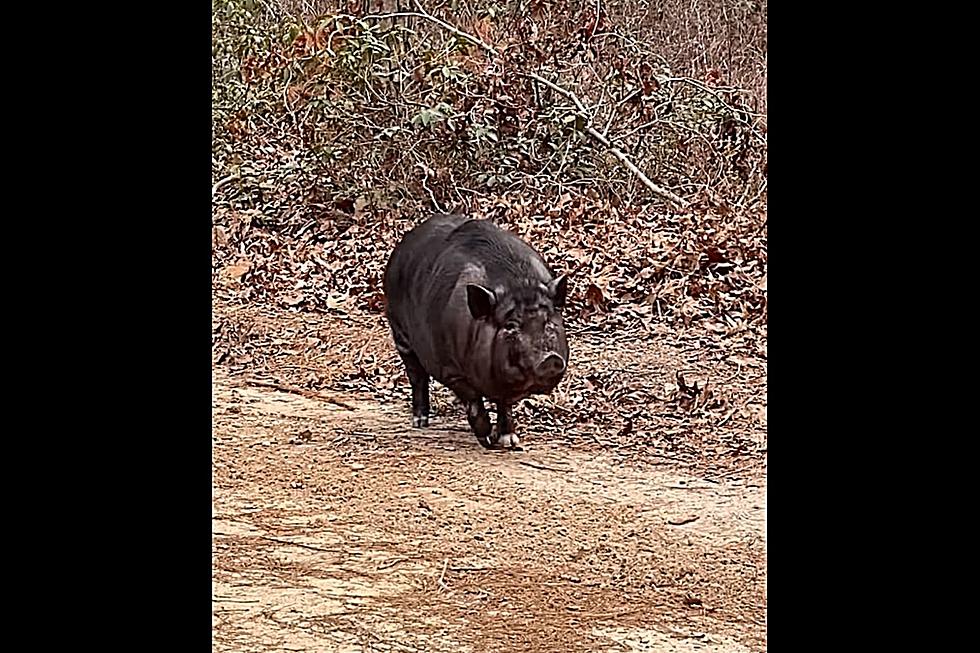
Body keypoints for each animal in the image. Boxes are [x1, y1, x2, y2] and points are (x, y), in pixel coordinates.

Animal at [380, 214, 568, 448]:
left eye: (549, 322)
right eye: (510, 326)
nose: (550, 358)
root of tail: (401, 247)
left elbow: (504, 404)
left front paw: (508, 441)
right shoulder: (450, 369)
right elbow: (473, 399)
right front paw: (486, 439)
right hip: (400, 334)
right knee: (417, 377)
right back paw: (420, 422)